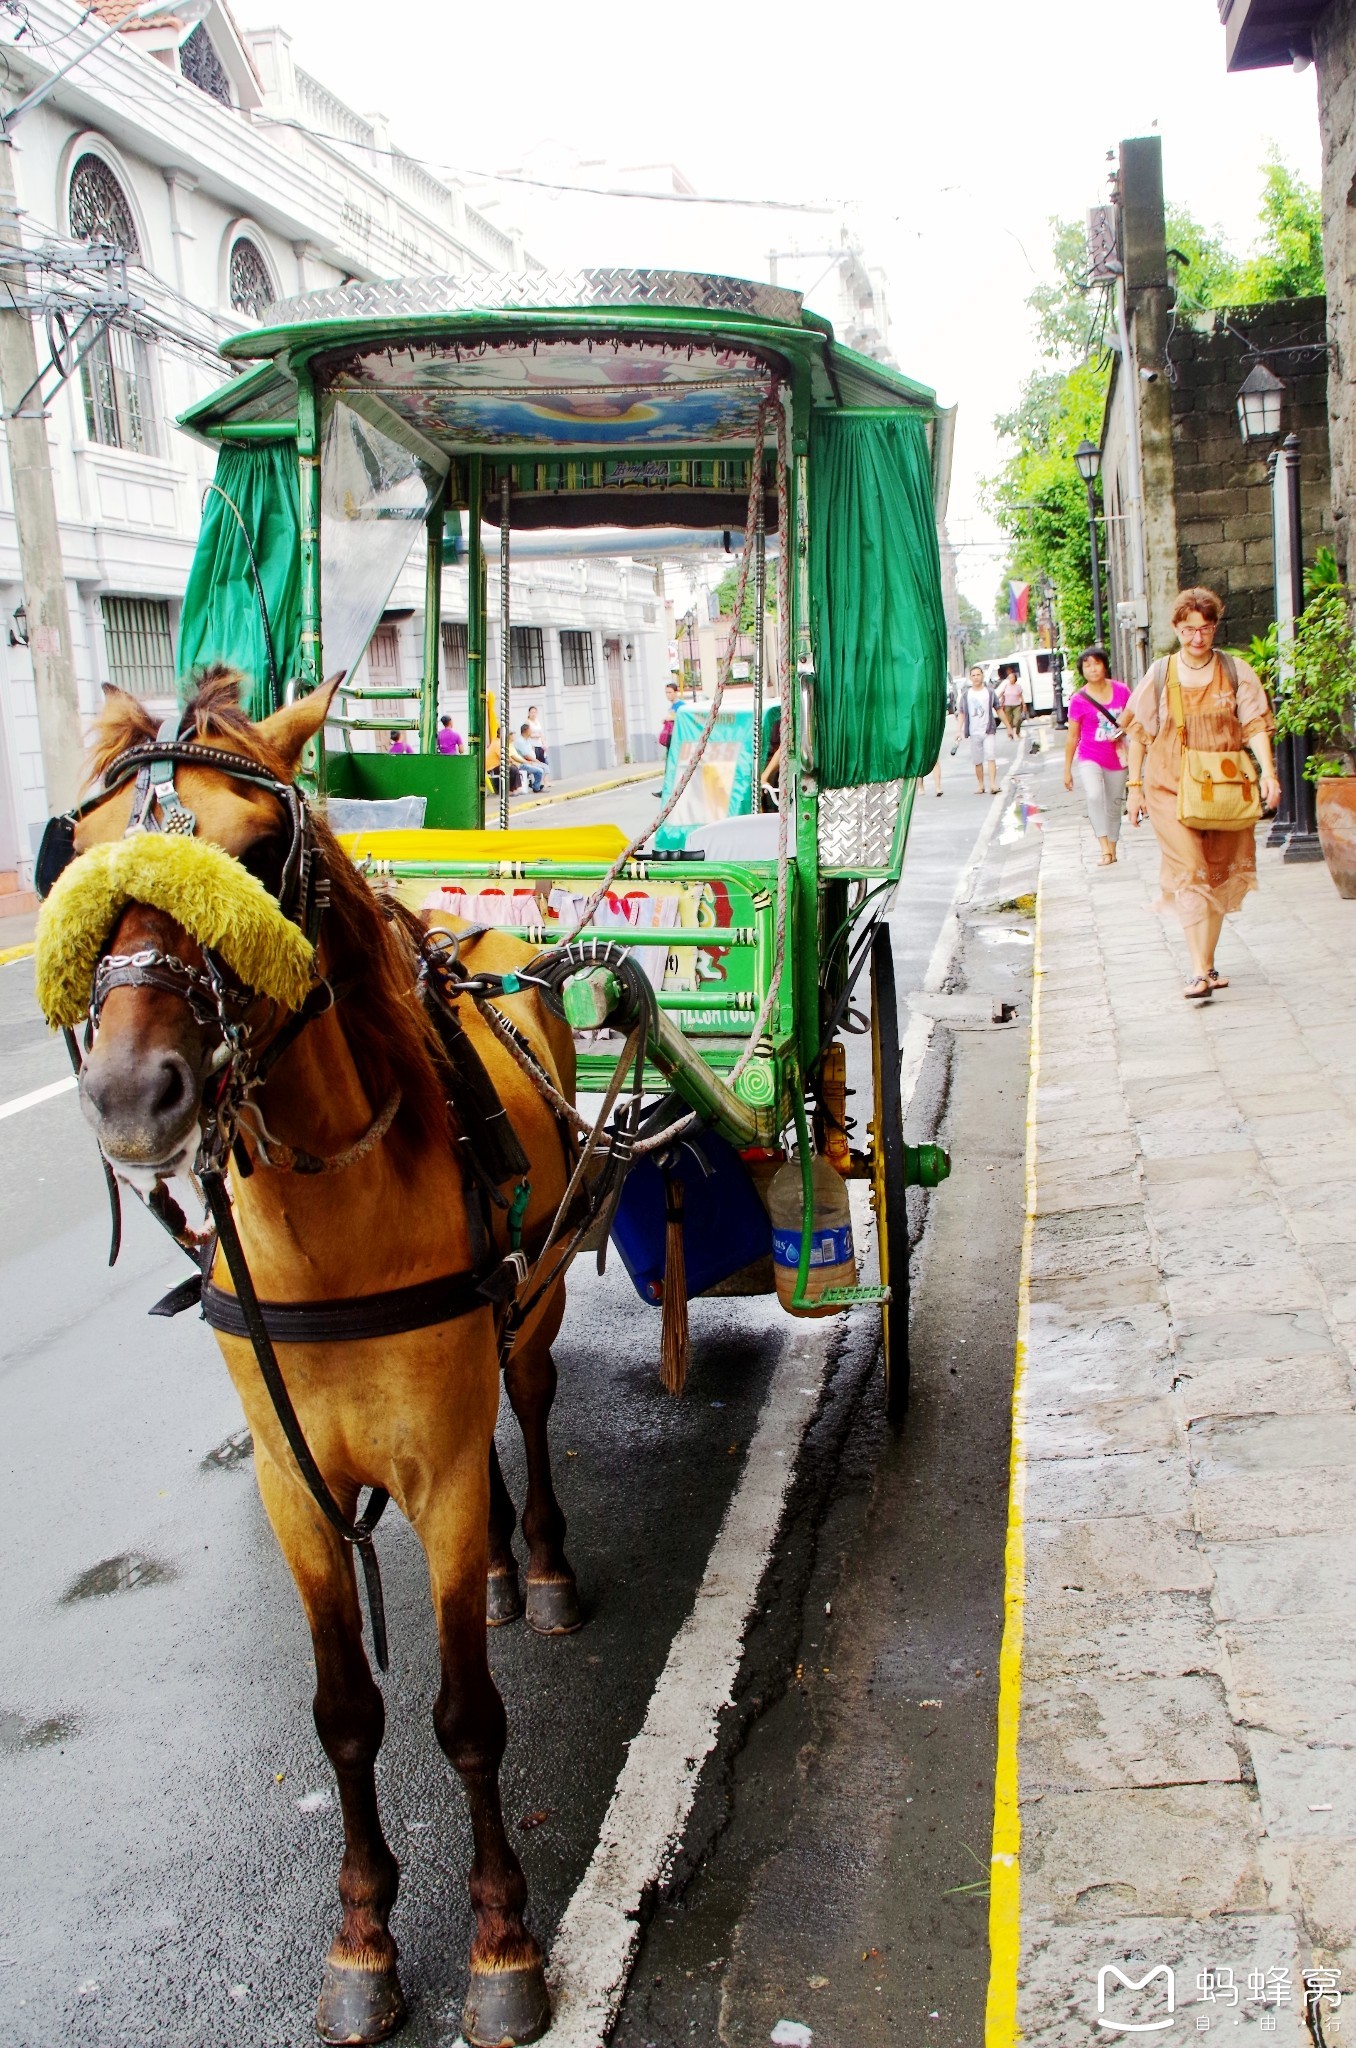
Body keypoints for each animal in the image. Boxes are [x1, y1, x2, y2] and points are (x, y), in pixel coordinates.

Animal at [69, 675, 577, 2048]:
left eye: (255, 854)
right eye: (80, 857)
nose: (131, 1097)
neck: (328, 1210)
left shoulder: (434, 1466)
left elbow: (466, 1717)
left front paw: (500, 1937)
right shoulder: (294, 1488)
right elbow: (345, 1714)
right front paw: (360, 1934)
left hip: (541, 1294)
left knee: (527, 1399)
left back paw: (540, 1560)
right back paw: (503, 1565)